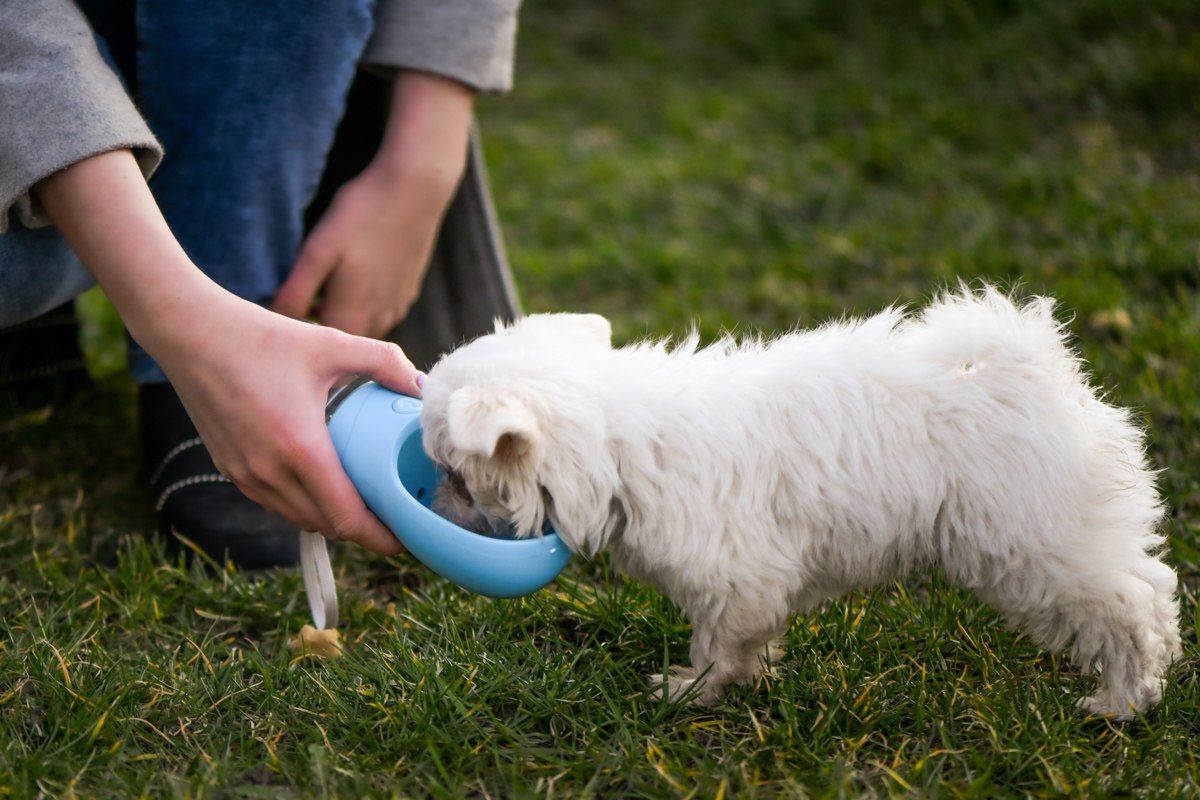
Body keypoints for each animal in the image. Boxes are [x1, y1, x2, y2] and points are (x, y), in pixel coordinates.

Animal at [417, 287, 1176, 719]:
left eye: (453, 472)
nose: (429, 494)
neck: (613, 436)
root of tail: (1031, 366)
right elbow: (743, 641)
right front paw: (739, 683)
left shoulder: (734, 573)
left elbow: (719, 643)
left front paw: (691, 692)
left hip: (1037, 545)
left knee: (1133, 607)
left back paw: (1122, 701)